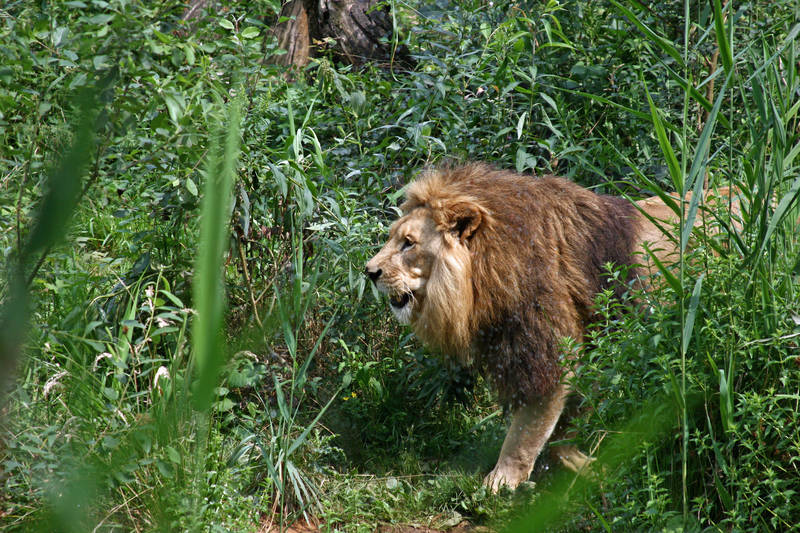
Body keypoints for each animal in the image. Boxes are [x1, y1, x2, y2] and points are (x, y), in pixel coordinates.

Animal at [366, 163, 740, 490]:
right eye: (393, 238)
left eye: (409, 243)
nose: (369, 272)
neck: (488, 272)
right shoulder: (590, 346)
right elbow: (569, 419)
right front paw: (581, 463)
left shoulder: (550, 346)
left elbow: (526, 430)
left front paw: (500, 481)